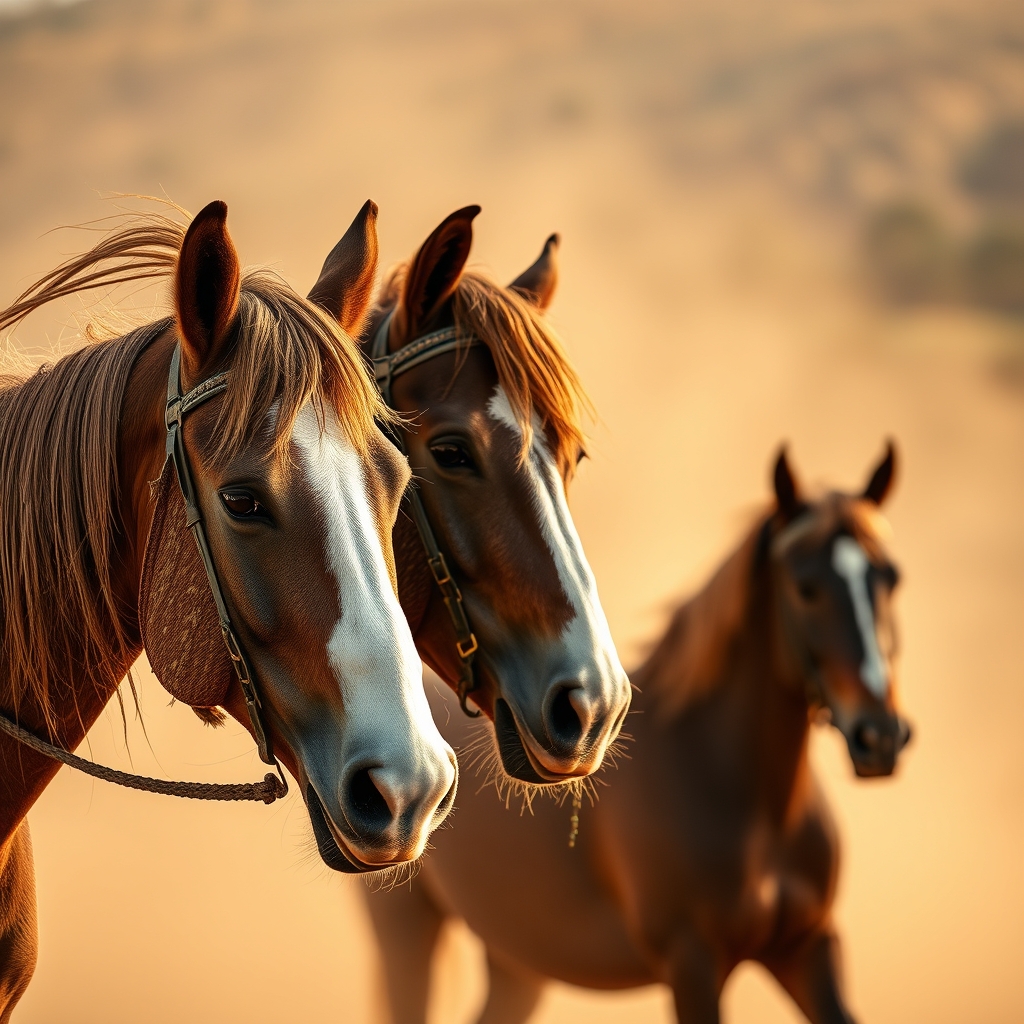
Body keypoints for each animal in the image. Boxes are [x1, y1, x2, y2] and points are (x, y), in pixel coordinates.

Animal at [365, 444, 913, 1024]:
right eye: (805, 588)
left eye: (892, 578)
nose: (880, 737)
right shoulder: (692, 963)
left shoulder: (808, 948)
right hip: (406, 929)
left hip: (517, 962)